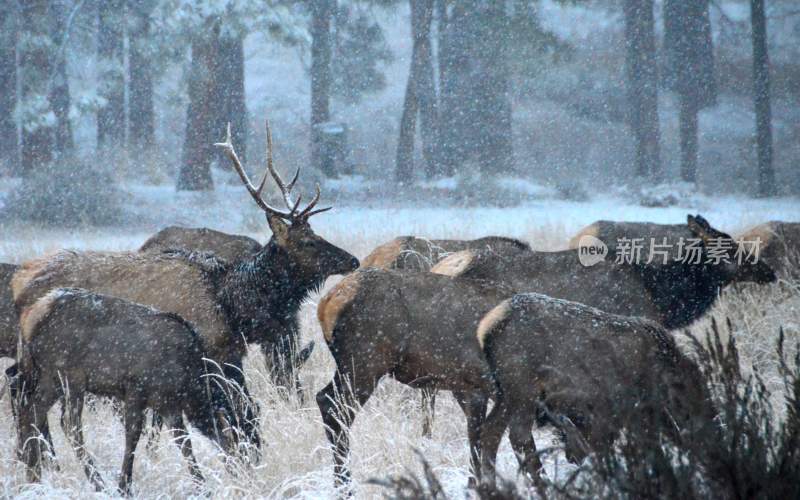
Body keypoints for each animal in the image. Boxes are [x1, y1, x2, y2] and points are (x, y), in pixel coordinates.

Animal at [14, 288, 241, 494]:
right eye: (233, 441)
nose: (242, 470)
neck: (190, 384)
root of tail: (32, 316)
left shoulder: (168, 404)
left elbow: (183, 441)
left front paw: (202, 487)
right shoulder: (135, 389)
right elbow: (133, 435)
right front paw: (124, 487)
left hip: (50, 377)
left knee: (31, 411)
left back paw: (32, 479)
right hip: (69, 376)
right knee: (69, 424)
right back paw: (98, 483)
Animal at [472, 294, 716, 486]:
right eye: (687, 406)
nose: (709, 441)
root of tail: (486, 329)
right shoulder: (625, 411)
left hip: (505, 393)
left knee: (491, 431)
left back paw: (491, 485)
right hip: (523, 389)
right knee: (518, 434)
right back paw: (544, 484)